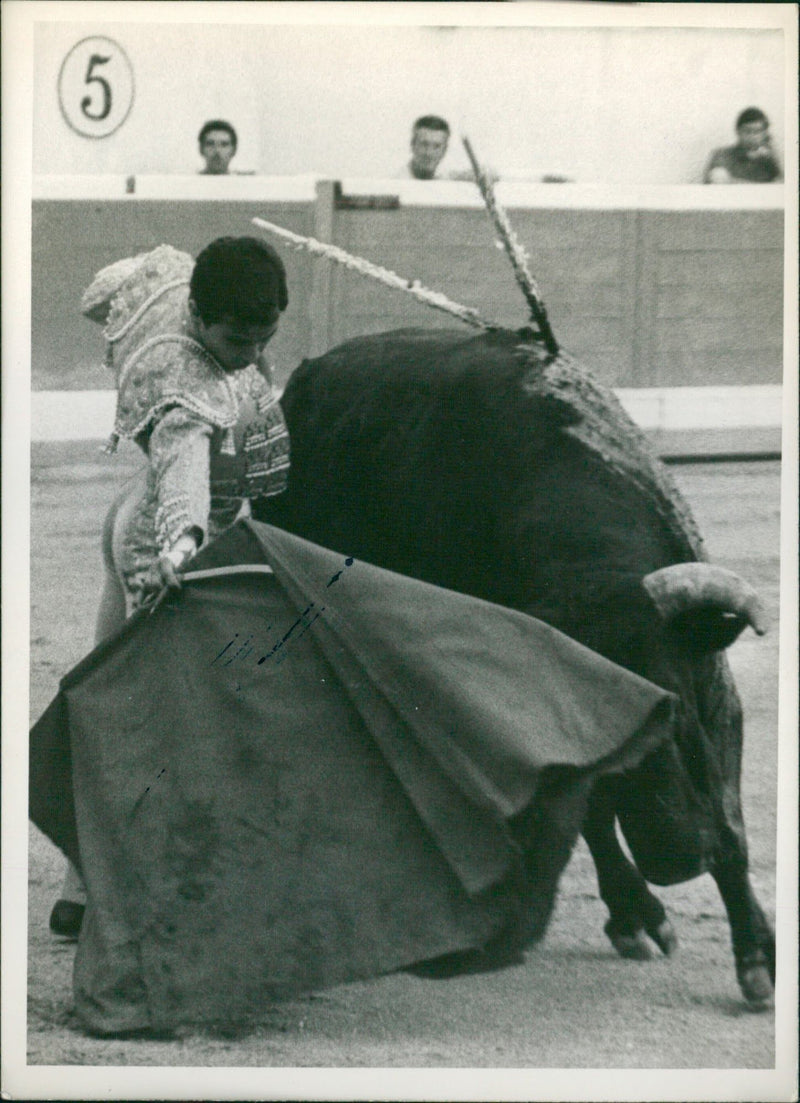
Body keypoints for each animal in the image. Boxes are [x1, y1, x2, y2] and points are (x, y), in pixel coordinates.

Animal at [251, 322, 772, 1010]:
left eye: (676, 704)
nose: (679, 857)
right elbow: (594, 812)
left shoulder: (717, 696)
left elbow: (733, 827)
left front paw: (756, 957)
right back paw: (633, 914)